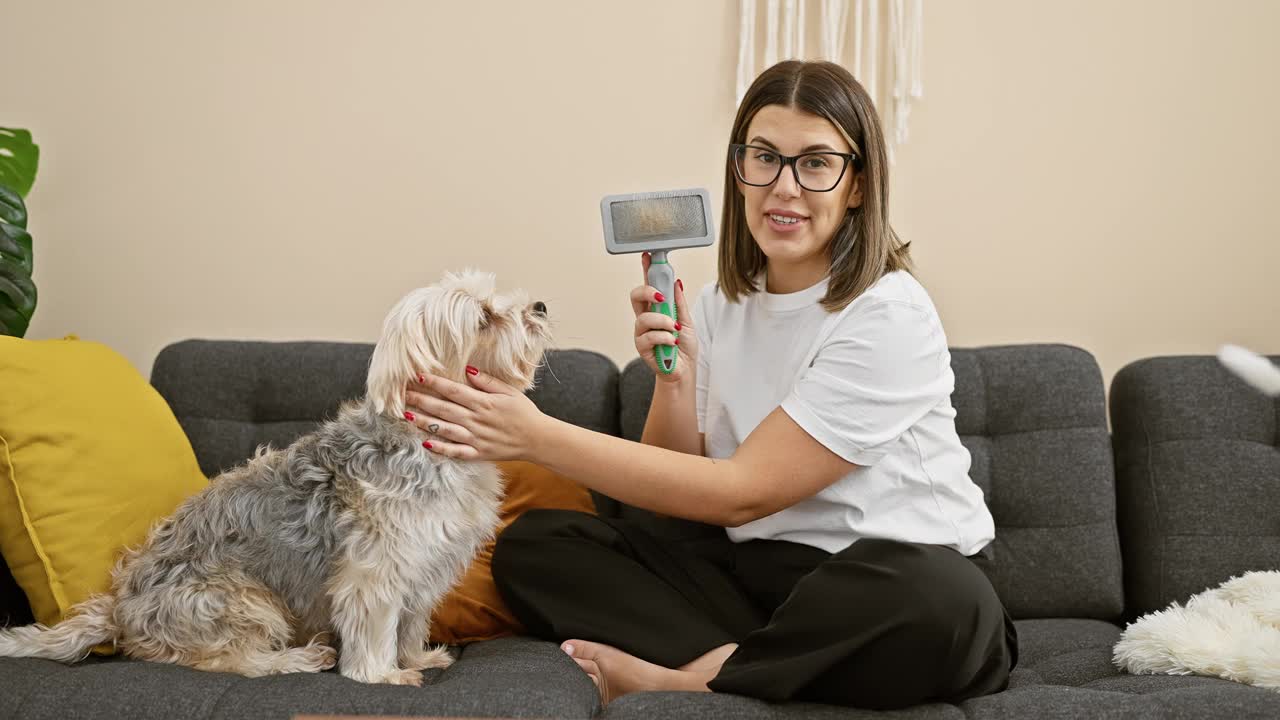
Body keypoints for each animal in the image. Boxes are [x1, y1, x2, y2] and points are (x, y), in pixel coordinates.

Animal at [0, 269, 552, 681]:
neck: (423, 438)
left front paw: (416, 658)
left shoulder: (426, 564)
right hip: (241, 600)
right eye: (484, 318)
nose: (540, 306)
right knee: (231, 661)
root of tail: (120, 606)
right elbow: (375, 627)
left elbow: (411, 623)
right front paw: (383, 675)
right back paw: (298, 658)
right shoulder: (376, 570)